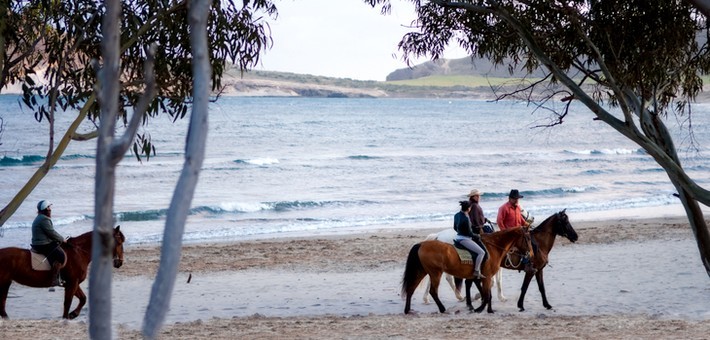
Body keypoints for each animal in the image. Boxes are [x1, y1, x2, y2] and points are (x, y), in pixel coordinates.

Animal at [400, 226, 536, 314]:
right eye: (528, 239)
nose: (532, 254)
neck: (492, 247)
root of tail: (422, 244)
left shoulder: (484, 276)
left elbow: (487, 292)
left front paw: (488, 308)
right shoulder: (487, 276)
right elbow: (488, 292)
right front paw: (480, 308)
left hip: (423, 271)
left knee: (411, 288)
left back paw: (409, 309)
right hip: (435, 272)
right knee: (434, 290)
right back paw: (444, 307)